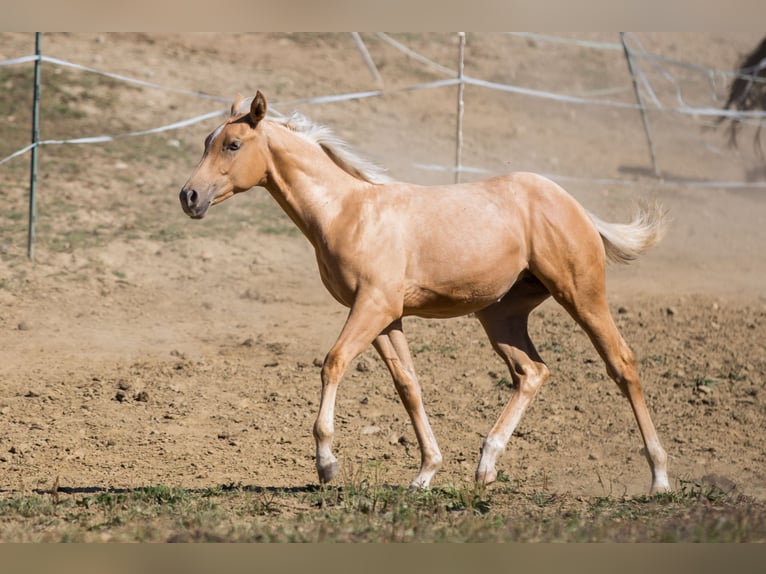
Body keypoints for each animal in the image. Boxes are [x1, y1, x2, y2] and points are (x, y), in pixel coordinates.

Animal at [179, 91, 671, 494]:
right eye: (207, 140)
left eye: (233, 145)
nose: (189, 196)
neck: (346, 212)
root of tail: (573, 204)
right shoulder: (385, 317)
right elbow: (408, 385)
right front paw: (426, 472)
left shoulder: (372, 307)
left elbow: (333, 363)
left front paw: (326, 464)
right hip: (501, 316)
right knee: (532, 372)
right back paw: (485, 465)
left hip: (581, 295)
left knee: (622, 363)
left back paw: (659, 477)